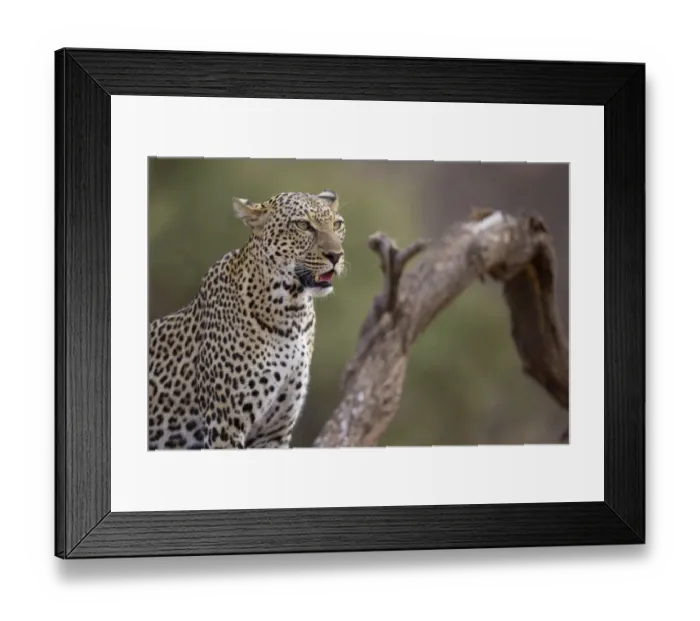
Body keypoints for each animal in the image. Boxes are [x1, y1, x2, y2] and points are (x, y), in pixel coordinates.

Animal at [147, 190, 346, 450]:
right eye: (303, 225)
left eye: (337, 224)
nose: (336, 255)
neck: (293, 311)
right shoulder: (225, 426)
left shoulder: (274, 432)